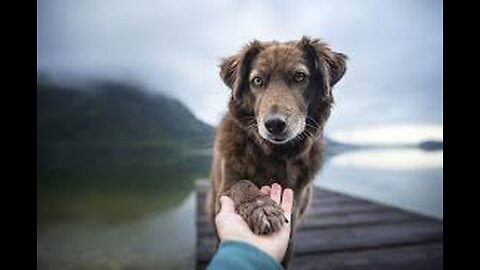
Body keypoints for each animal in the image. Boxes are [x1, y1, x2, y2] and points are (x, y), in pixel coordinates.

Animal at [206, 36, 348, 268]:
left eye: (300, 76)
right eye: (257, 81)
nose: (274, 124)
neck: (274, 155)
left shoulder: (295, 216)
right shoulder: (225, 188)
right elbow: (242, 184)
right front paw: (261, 207)